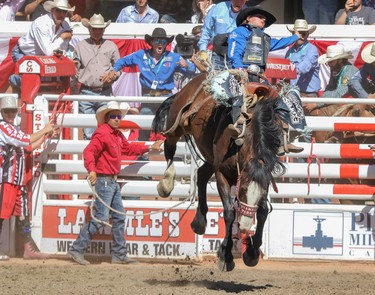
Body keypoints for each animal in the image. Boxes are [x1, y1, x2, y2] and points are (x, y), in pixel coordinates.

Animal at [153, 73, 284, 272]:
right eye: (242, 190)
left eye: (259, 191)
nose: (245, 226)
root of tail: (196, 78)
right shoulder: (222, 173)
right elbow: (229, 213)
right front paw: (226, 256)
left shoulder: (264, 178)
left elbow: (262, 211)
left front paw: (252, 254)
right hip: (177, 124)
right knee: (169, 146)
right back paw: (166, 184)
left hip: (210, 156)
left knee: (201, 174)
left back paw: (199, 222)